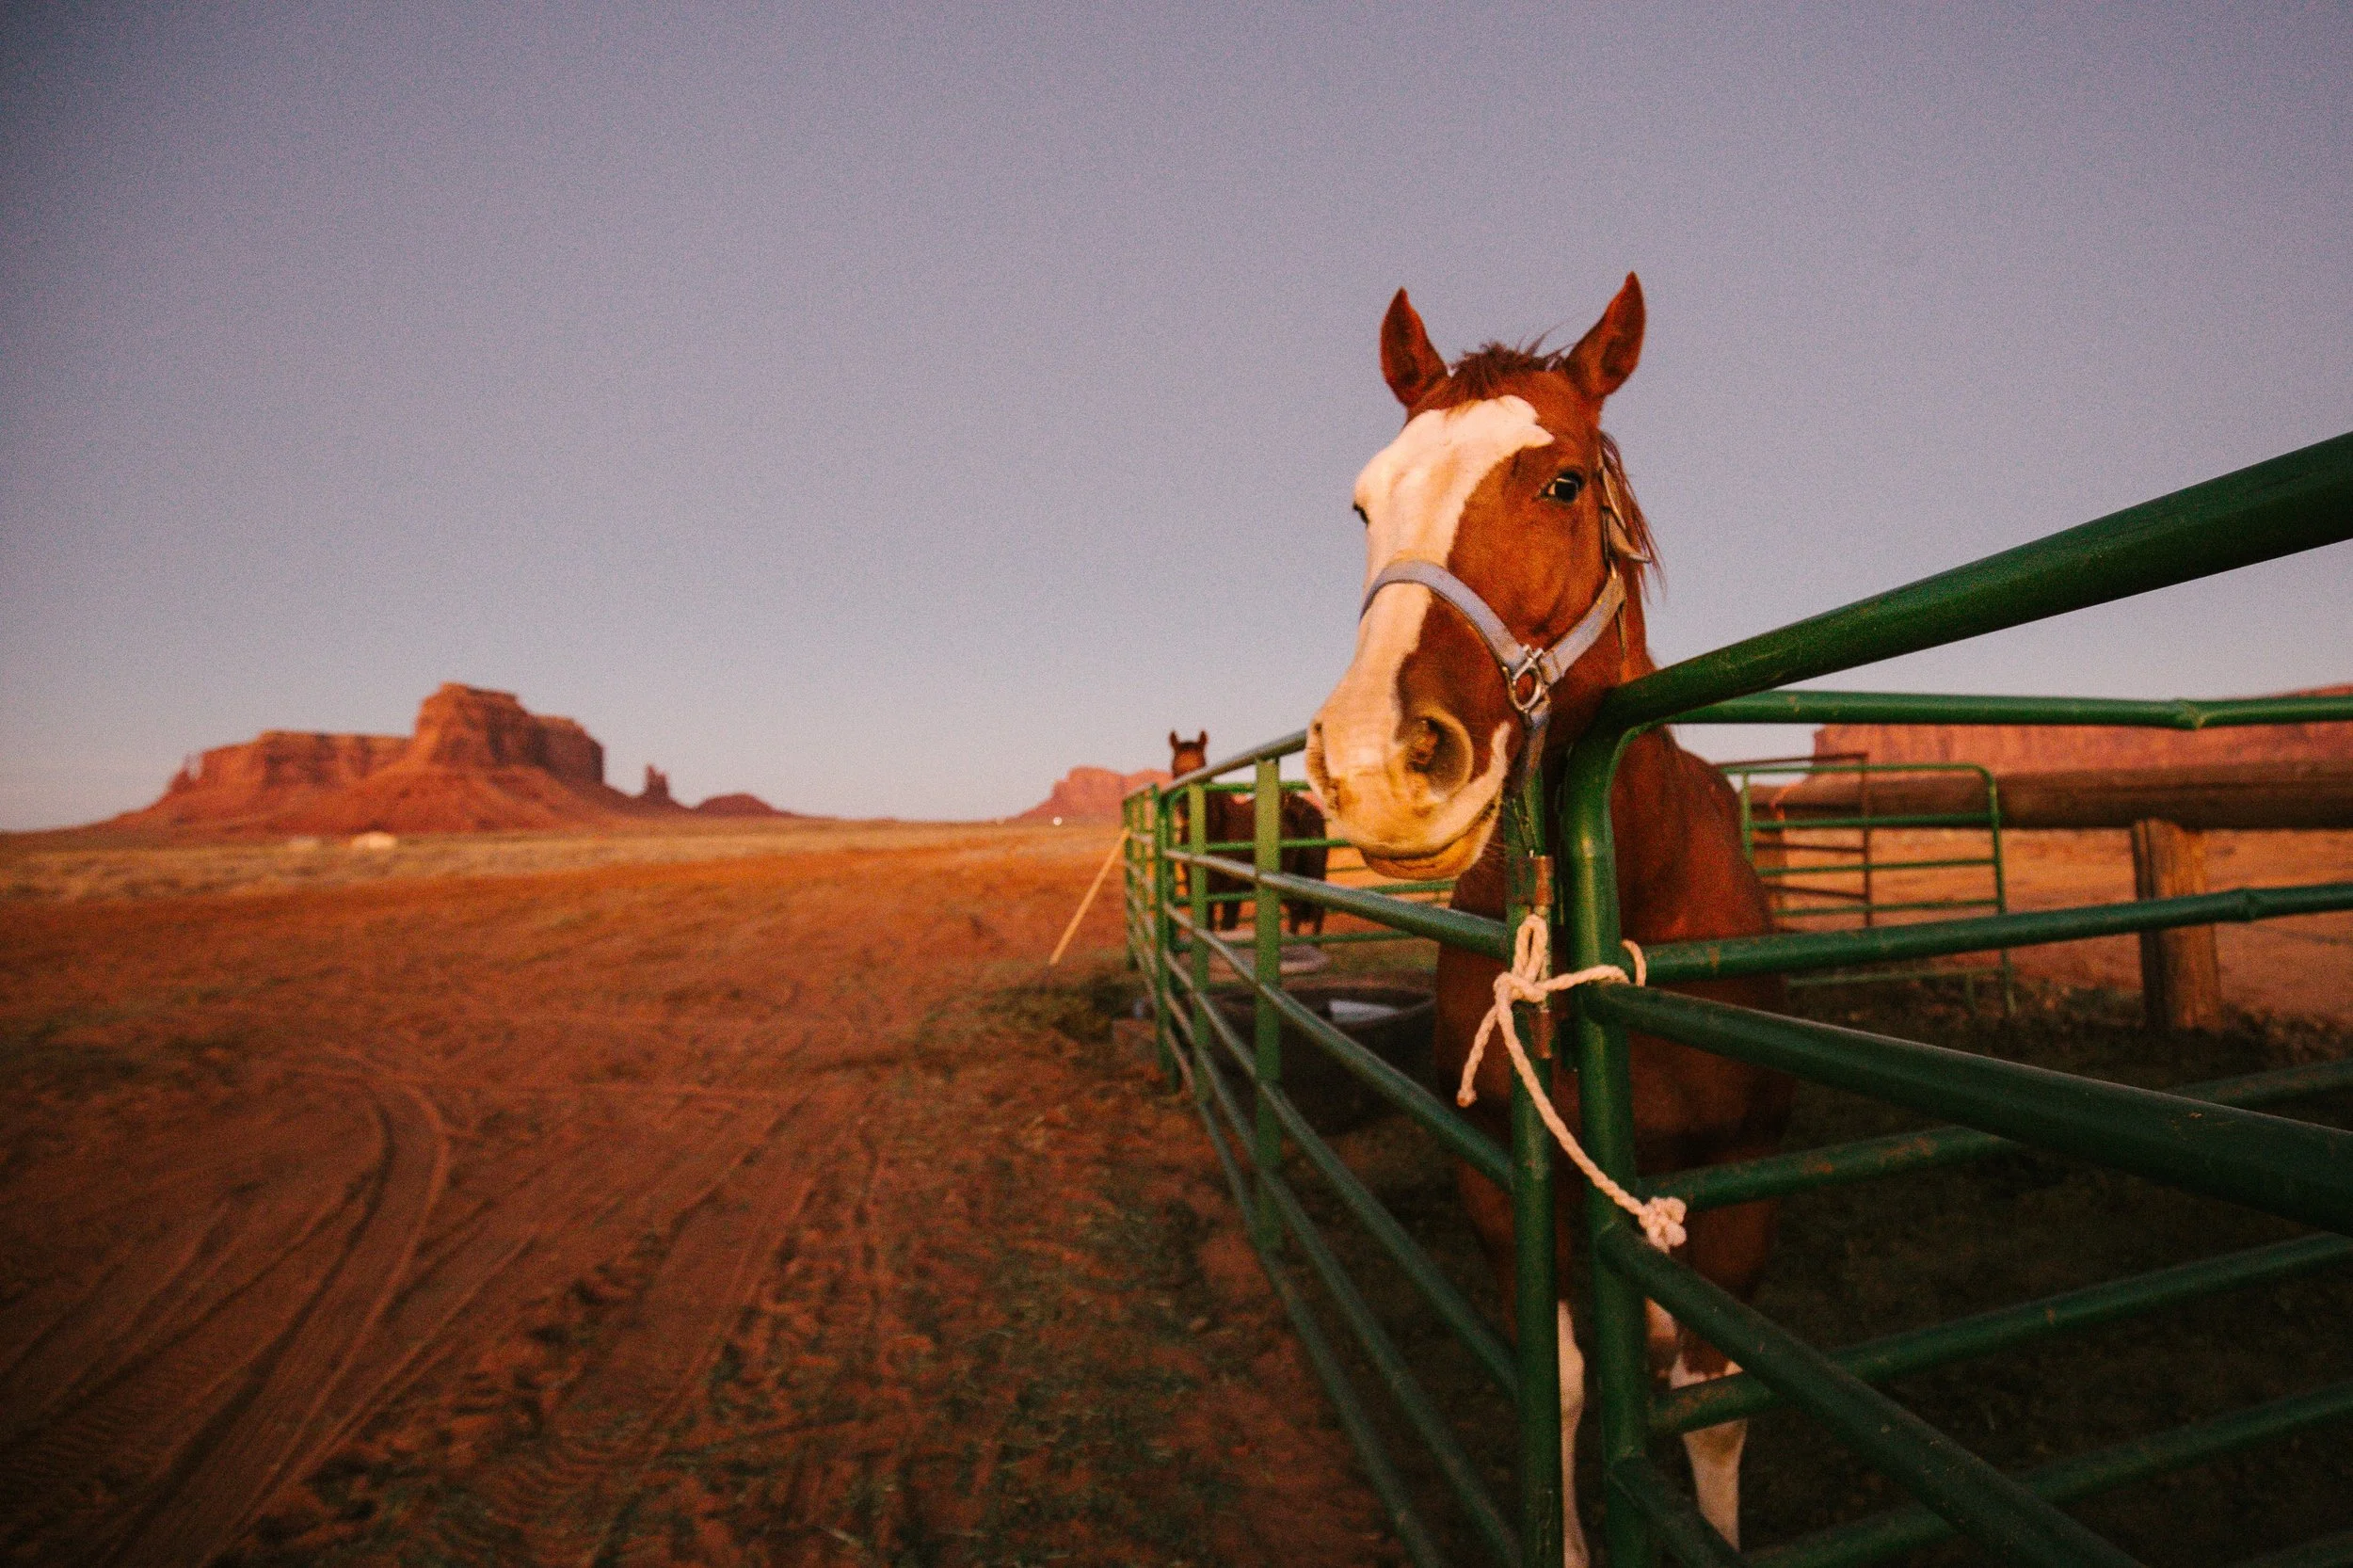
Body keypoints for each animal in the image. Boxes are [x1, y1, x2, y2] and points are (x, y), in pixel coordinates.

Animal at [1168, 731, 1330, 936]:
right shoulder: (1199, 890)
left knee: (1316, 915)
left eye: (1203, 765)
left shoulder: (1232, 893)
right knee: (1296, 911)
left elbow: (1227, 927)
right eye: (1174, 768)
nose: (1186, 809)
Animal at [1303, 276, 1791, 1559]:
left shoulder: (1741, 1186)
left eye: (1562, 482)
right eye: (1363, 500)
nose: (1375, 760)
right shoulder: (1505, 1197)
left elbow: (1716, 1406)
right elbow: (1563, 1388)